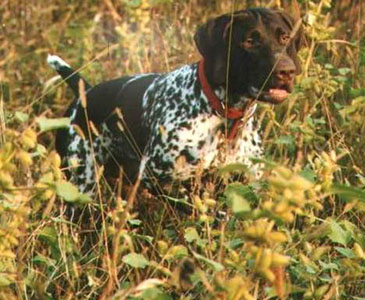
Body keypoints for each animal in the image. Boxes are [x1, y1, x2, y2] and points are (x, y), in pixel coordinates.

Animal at [48, 7, 302, 195]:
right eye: (249, 41)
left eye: (284, 37)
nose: (286, 72)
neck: (223, 114)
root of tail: (86, 94)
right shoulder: (157, 177)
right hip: (81, 183)